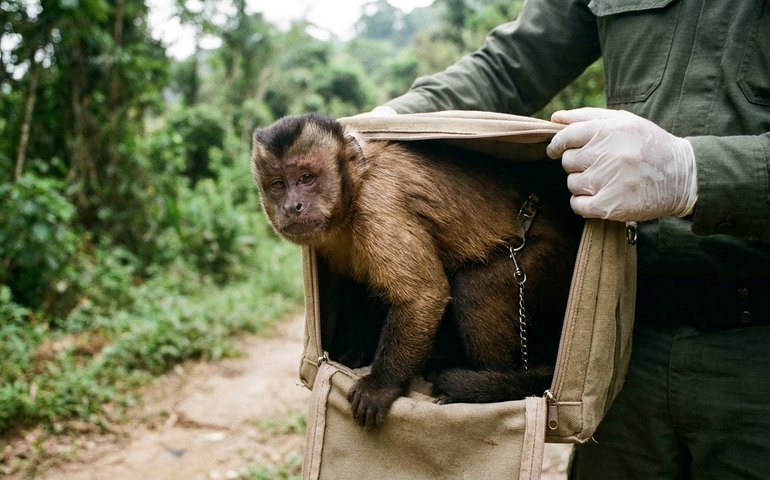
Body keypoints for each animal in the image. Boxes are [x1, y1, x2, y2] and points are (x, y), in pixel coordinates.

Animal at [251, 113, 581, 428]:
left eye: (306, 178)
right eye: (277, 185)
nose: (292, 206)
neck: (355, 191)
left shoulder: (379, 206)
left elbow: (423, 294)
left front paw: (380, 386)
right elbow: (360, 289)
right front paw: (356, 354)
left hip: (545, 260)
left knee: (476, 286)